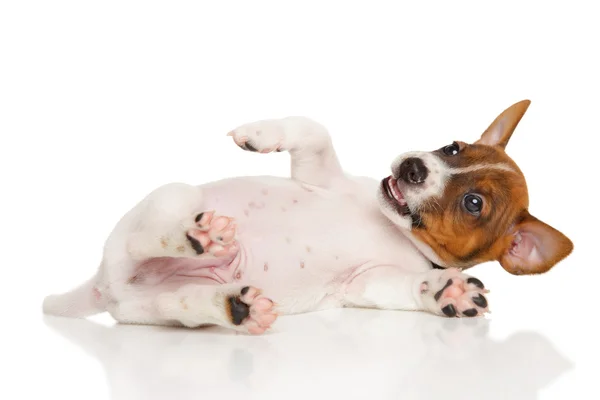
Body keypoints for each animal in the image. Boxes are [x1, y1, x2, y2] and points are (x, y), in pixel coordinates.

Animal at [42, 100, 572, 334]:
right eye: (453, 147)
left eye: (474, 204)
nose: (412, 167)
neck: (393, 229)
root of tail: (104, 284)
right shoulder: (321, 175)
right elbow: (314, 128)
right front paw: (259, 133)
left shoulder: (367, 283)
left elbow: (412, 288)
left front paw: (450, 293)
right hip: (170, 198)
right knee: (148, 235)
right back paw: (197, 234)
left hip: (157, 307)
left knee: (186, 302)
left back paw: (230, 297)